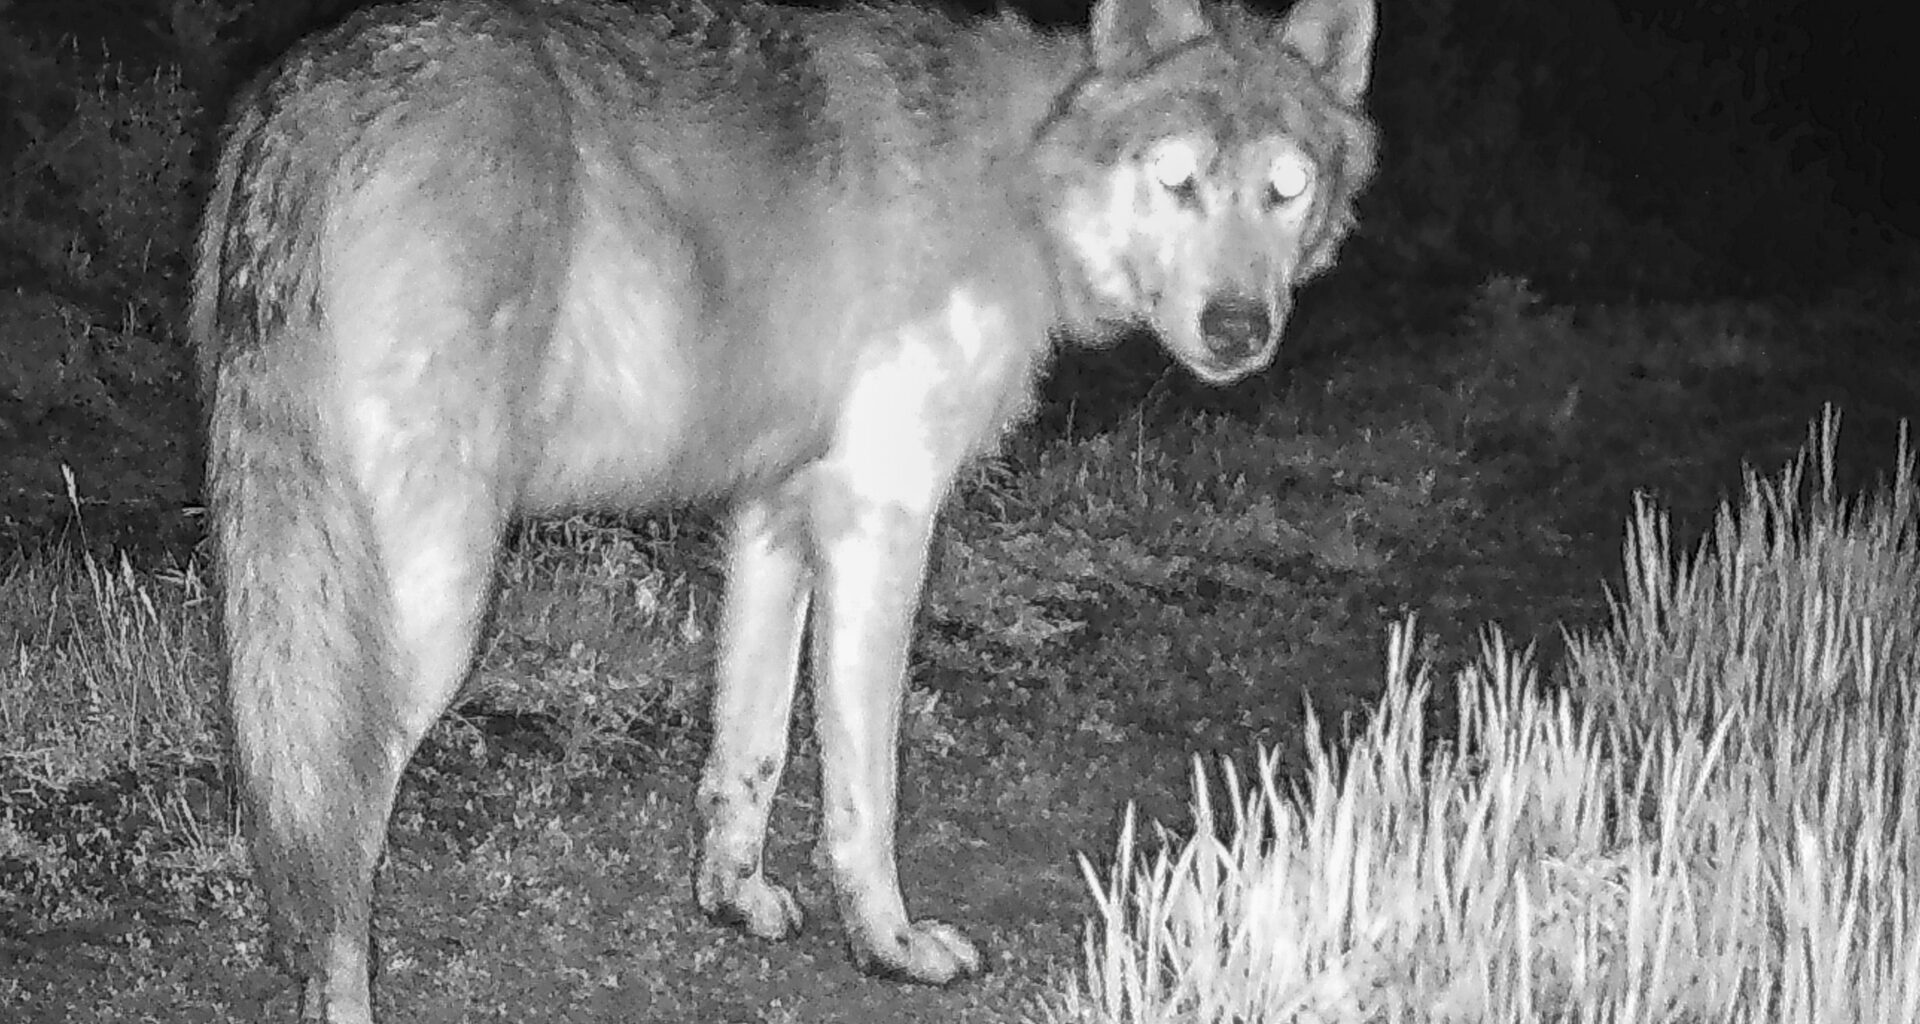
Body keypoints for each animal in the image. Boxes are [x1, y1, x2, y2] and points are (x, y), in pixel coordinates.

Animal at [192, 0, 1376, 1018]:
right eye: (1178, 179)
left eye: (1287, 188)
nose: (1239, 328)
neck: (1022, 178)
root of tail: (301, 100)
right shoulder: (880, 517)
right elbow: (865, 789)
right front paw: (891, 947)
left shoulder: (771, 515)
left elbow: (747, 750)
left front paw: (735, 899)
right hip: (423, 615)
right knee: (336, 844)